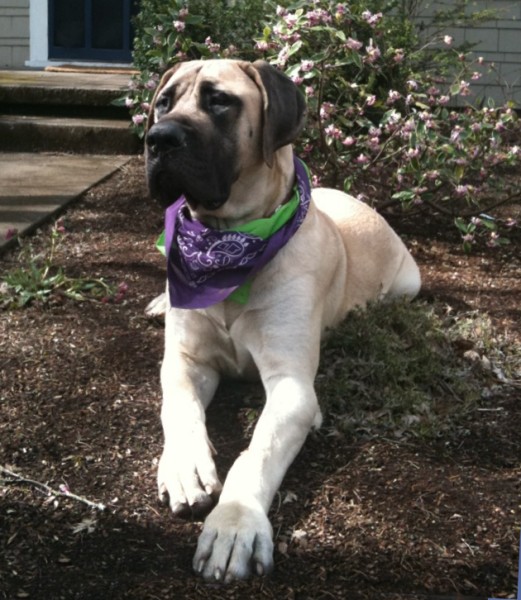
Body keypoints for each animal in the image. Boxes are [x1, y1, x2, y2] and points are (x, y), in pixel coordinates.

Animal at [144, 59, 420, 580]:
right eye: (164, 102)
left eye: (219, 101)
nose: (158, 139)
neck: (227, 248)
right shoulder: (186, 360)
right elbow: (179, 408)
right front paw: (186, 466)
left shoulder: (292, 385)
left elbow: (258, 451)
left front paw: (235, 525)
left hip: (407, 284)